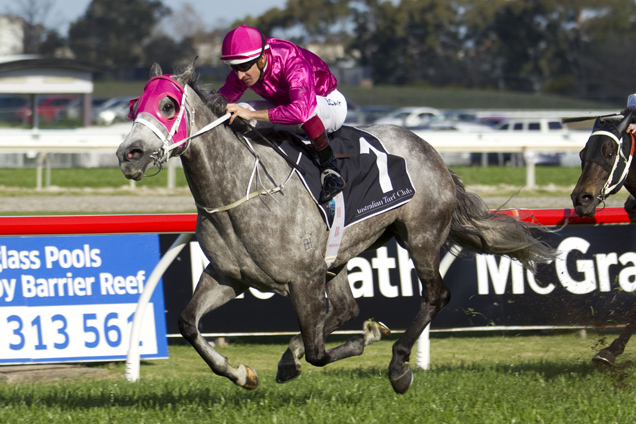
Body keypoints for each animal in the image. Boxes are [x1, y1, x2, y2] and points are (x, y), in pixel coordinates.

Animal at [117, 63, 556, 394]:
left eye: (169, 104)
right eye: (135, 104)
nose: (128, 154)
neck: (243, 191)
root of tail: (430, 150)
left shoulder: (304, 280)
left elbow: (318, 352)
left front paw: (362, 341)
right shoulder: (229, 276)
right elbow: (188, 324)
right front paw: (242, 373)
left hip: (421, 235)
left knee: (435, 294)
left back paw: (398, 366)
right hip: (342, 252)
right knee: (346, 306)